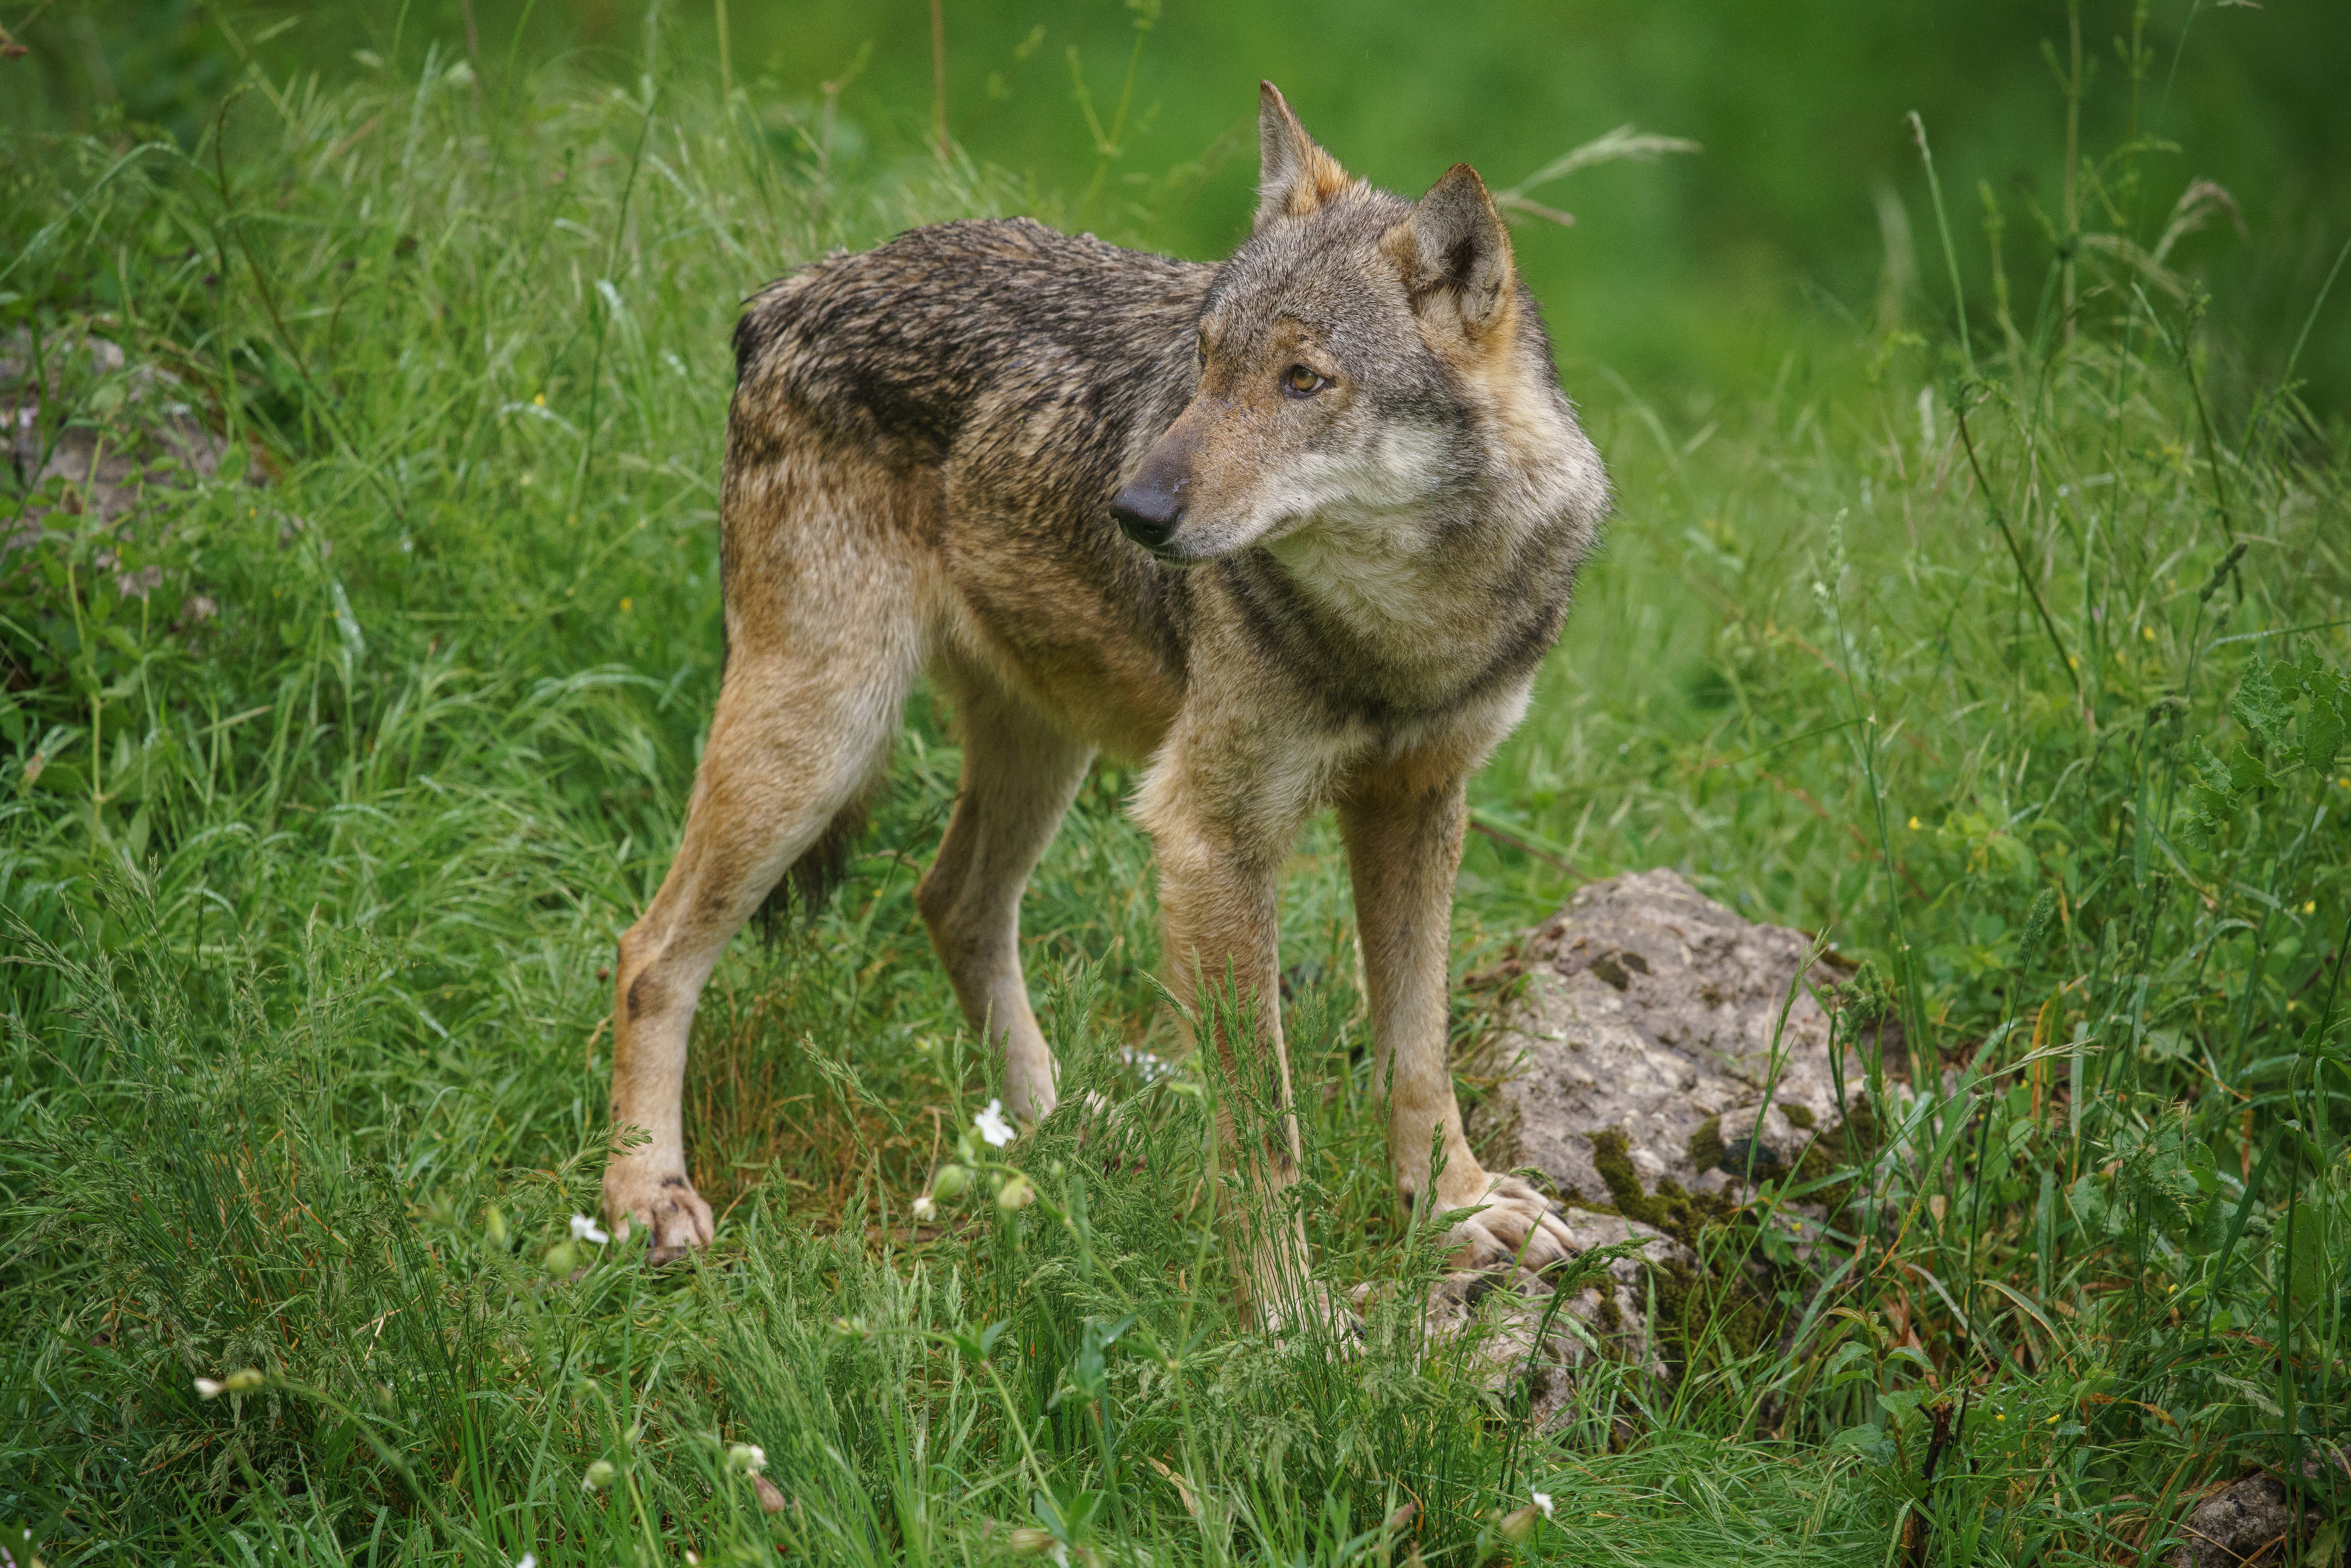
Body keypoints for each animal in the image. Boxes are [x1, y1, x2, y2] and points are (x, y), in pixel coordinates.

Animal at [602, 82, 1610, 1309]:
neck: (1403, 630)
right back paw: (645, 1198)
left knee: (953, 904)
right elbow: (1263, 1129)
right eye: (1206, 359)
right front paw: (1296, 1319)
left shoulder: (1420, 802)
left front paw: (1458, 1212)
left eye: (1303, 380)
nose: (1132, 511)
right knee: (650, 954)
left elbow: (1417, 1053)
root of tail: (788, 293)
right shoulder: (1212, 839)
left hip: (1040, 748)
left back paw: (1056, 1138)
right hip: (822, 741)